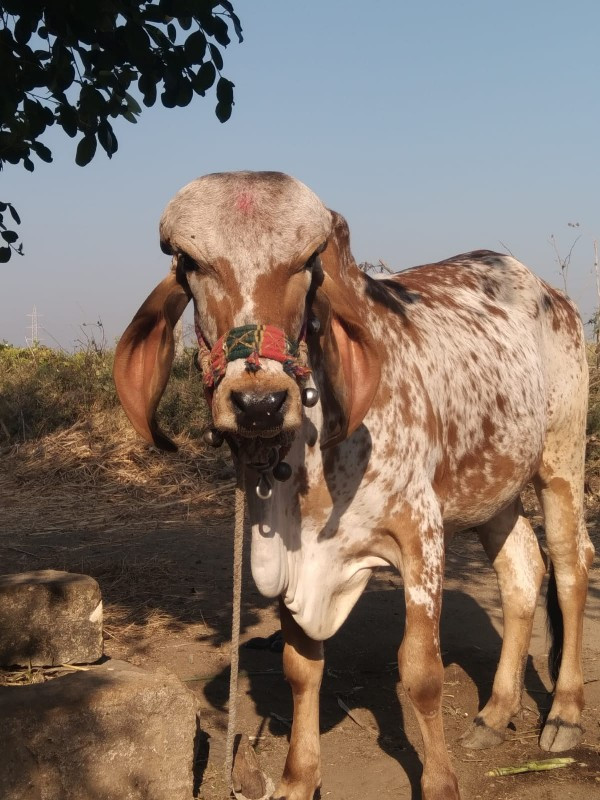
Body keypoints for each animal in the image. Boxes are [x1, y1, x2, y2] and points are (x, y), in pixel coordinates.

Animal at [113, 173, 596, 800]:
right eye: (192, 263)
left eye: (306, 263)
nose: (259, 402)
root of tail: (546, 292)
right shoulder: (287, 555)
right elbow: (301, 668)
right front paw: (297, 778)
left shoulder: (421, 533)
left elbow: (420, 673)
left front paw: (440, 784)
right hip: (494, 487)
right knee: (521, 573)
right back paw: (495, 713)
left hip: (560, 458)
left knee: (570, 565)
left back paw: (563, 712)